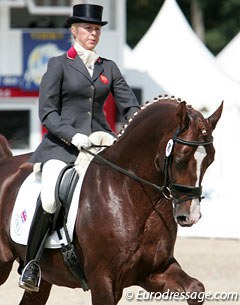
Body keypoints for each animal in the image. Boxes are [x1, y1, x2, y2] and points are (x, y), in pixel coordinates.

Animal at [0, 97, 223, 304]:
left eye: (211, 159)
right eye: (181, 158)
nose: (190, 216)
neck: (131, 194)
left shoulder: (154, 272)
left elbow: (196, 288)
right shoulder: (102, 279)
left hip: (46, 277)